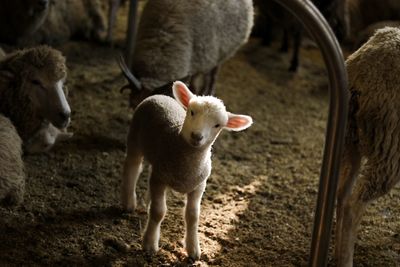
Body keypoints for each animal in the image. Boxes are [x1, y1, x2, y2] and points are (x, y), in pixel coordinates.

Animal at [122, 81, 253, 260]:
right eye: (192, 112)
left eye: (217, 125)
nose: (197, 136)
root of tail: (159, 96)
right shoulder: (160, 179)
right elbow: (158, 211)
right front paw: (149, 244)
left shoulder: (197, 186)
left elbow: (192, 216)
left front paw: (193, 249)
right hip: (135, 136)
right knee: (133, 166)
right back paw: (128, 203)